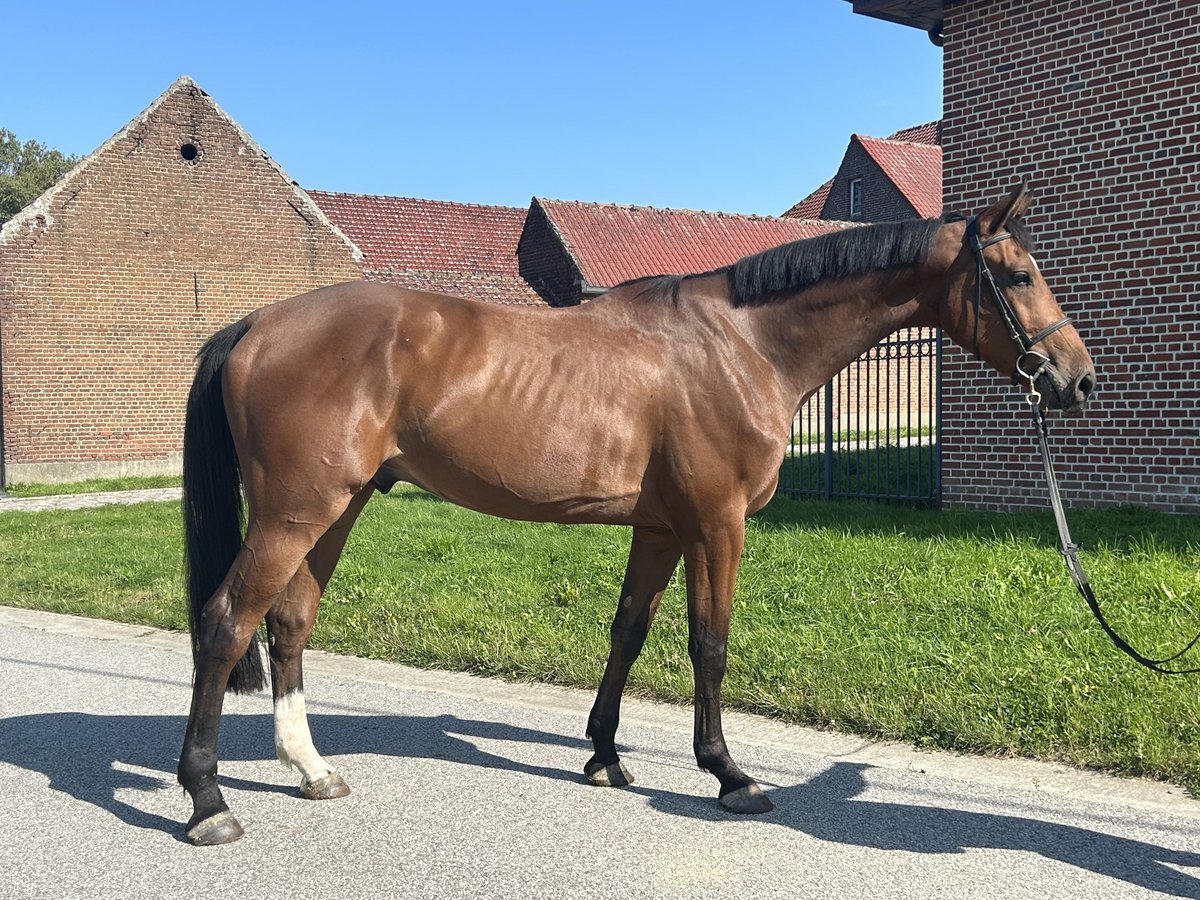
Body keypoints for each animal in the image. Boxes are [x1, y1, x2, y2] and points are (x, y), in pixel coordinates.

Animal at [175, 183, 1099, 844]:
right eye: (1020, 276)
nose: (1078, 379)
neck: (743, 345)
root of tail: (258, 322)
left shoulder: (658, 530)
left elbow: (626, 632)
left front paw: (604, 756)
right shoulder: (717, 526)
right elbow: (708, 645)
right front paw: (728, 774)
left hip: (334, 509)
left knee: (288, 622)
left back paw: (310, 769)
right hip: (294, 514)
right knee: (226, 622)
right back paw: (208, 800)